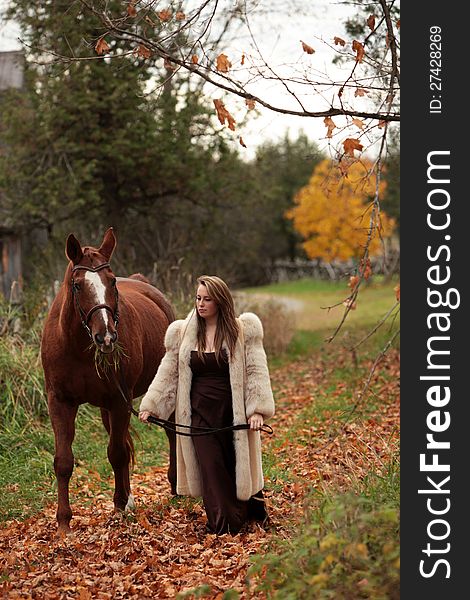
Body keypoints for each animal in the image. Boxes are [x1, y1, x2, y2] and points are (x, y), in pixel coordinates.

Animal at [41, 229, 177, 536]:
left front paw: (118, 507)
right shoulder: (60, 401)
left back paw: (176, 487)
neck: (78, 347)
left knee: (172, 433)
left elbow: (116, 453)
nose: (106, 337)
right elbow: (63, 460)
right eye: (77, 285)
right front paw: (64, 522)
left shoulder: (118, 401)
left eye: (112, 281)